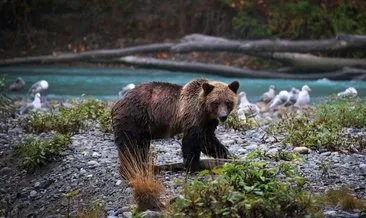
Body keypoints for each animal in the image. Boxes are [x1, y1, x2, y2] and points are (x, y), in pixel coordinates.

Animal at [113, 77, 242, 171]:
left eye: (228, 102)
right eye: (216, 102)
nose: (223, 116)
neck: (205, 110)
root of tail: (118, 102)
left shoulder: (207, 122)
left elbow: (208, 140)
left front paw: (227, 155)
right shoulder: (192, 115)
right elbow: (192, 140)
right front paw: (192, 165)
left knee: (141, 146)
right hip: (133, 118)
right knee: (130, 145)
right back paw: (131, 167)